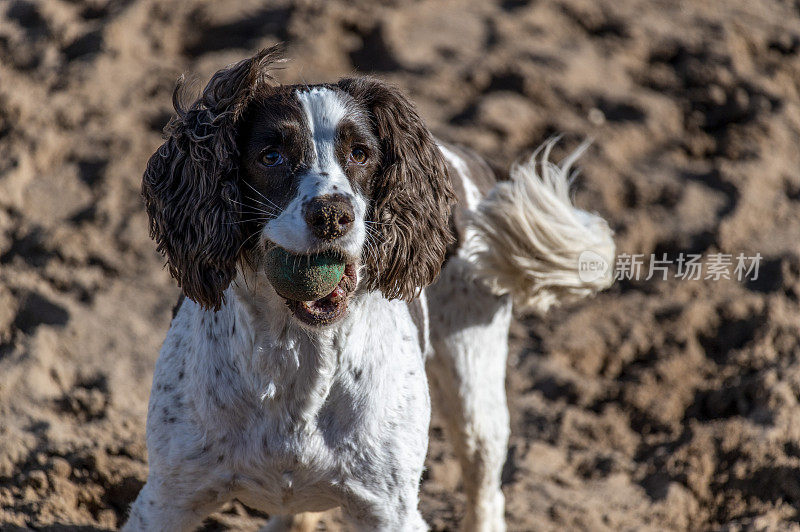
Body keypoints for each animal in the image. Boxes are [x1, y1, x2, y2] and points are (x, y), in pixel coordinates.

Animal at [123, 46, 612, 532]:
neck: (297, 354)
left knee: (485, 490)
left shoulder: (390, 509)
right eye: (271, 156)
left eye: (360, 153)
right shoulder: (166, 499)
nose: (332, 214)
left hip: (476, 390)